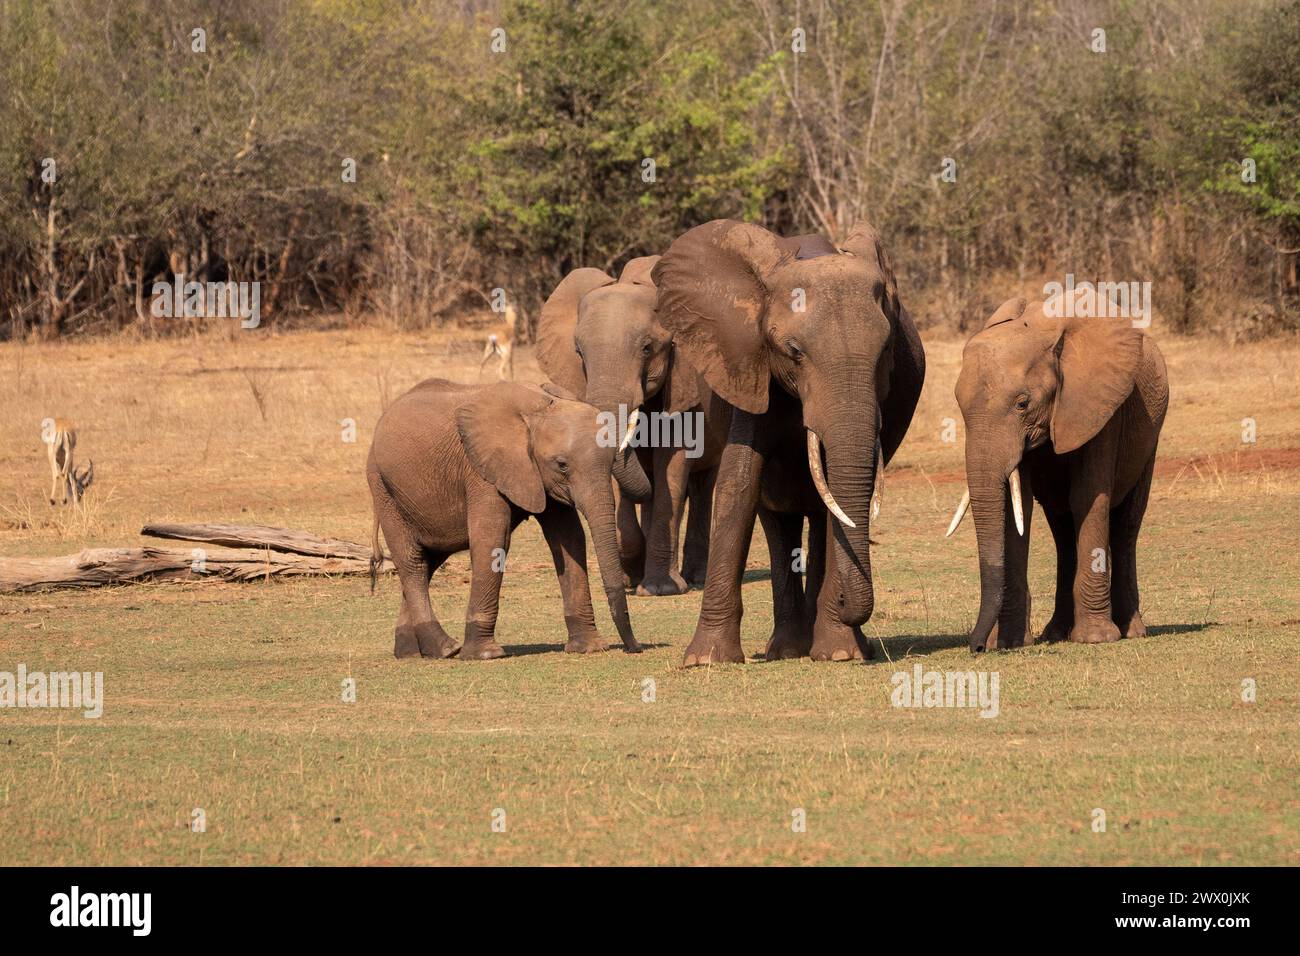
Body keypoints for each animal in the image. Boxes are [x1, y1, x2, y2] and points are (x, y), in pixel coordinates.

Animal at [366, 377, 650, 660]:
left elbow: (569, 539)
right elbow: (492, 539)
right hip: (383, 488)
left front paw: (588, 648)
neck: (539, 408)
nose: (634, 647)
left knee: (430, 560)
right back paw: (446, 648)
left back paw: (413, 652)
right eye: (562, 465)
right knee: (412, 561)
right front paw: (485, 655)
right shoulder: (481, 470)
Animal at [533, 257, 728, 595]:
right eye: (579, 352)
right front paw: (632, 575)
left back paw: (695, 578)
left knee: (702, 484)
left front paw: (660, 589)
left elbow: (672, 465)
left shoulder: (684, 380)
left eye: (648, 348)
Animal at [660, 218, 925, 665]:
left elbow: (842, 499)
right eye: (794, 351)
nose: (846, 605)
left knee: (818, 512)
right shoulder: (749, 366)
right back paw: (786, 649)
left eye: (887, 350)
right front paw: (705, 660)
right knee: (776, 516)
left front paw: (841, 654)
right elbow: (738, 482)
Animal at [946, 299, 1170, 655]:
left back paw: (1132, 632)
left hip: (1150, 434)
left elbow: (1089, 497)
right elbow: (1018, 506)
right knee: (1063, 531)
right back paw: (1056, 633)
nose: (977, 647)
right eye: (960, 408)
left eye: (1023, 404)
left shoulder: (1101, 406)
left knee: (1126, 525)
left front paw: (1096, 639)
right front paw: (1010, 642)